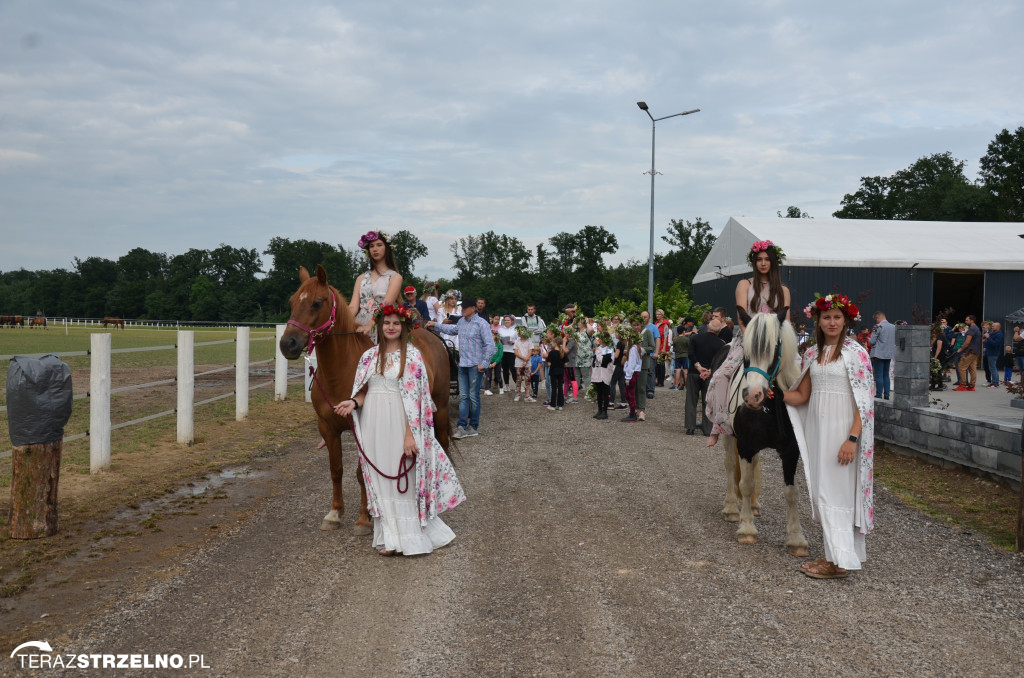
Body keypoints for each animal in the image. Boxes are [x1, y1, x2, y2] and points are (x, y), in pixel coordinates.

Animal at [276, 266, 452, 536]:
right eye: (292, 302)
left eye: (317, 303)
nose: (288, 344)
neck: (340, 372)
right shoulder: (327, 427)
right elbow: (336, 470)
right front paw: (334, 513)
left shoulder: (362, 427)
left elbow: (362, 473)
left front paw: (364, 519)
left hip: (440, 409)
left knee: (442, 443)